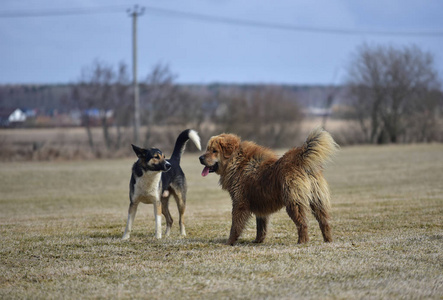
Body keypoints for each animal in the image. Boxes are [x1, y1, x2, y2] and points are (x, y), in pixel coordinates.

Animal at [199, 127, 338, 245]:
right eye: (207, 149)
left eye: (214, 151)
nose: (200, 158)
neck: (236, 161)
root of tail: (300, 159)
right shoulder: (261, 206)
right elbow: (261, 227)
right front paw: (258, 241)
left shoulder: (239, 203)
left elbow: (235, 226)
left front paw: (229, 242)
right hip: (317, 200)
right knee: (324, 222)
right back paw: (328, 241)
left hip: (293, 203)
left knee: (302, 223)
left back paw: (302, 242)